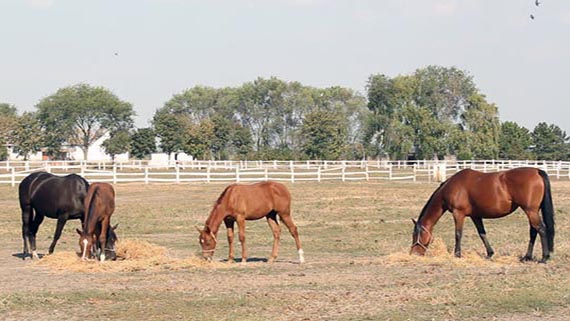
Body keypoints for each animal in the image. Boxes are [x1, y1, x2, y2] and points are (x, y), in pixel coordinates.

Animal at [410, 166, 552, 262]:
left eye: (416, 234)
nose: (414, 253)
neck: (451, 187)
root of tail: (537, 171)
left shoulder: (458, 213)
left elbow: (458, 234)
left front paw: (457, 254)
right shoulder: (475, 216)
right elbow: (482, 233)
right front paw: (490, 253)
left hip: (530, 210)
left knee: (541, 229)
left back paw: (544, 257)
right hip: (532, 211)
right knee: (533, 231)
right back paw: (527, 257)